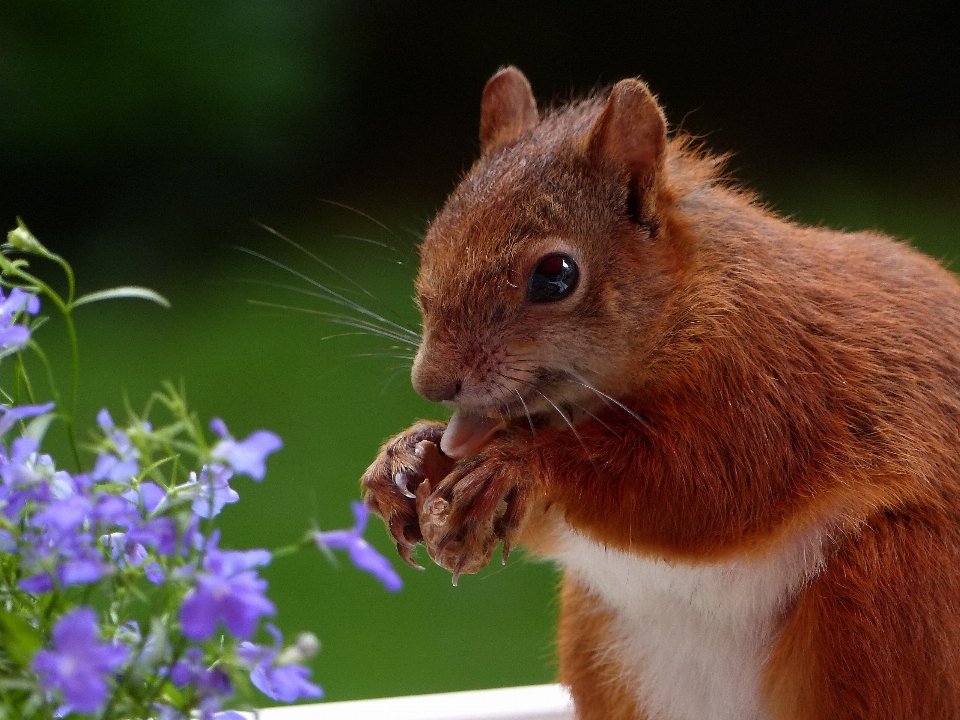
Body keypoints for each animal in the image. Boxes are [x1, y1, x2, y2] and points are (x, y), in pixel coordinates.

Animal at [362, 67, 960, 720]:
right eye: (433, 241)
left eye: (556, 275)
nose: (431, 382)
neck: (691, 298)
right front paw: (409, 455)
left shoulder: (772, 380)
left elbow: (704, 484)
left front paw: (520, 461)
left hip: (886, 594)